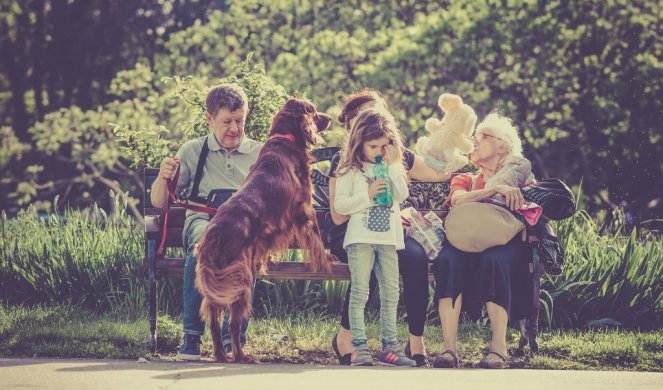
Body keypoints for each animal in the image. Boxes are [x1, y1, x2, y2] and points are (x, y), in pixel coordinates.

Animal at [192, 96, 338, 362]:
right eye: (313, 110)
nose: (330, 117)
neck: (285, 139)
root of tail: (212, 238)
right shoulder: (304, 208)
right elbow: (316, 238)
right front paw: (326, 261)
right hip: (240, 281)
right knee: (234, 323)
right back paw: (241, 356)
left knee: (215, 321)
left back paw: (221, 354)